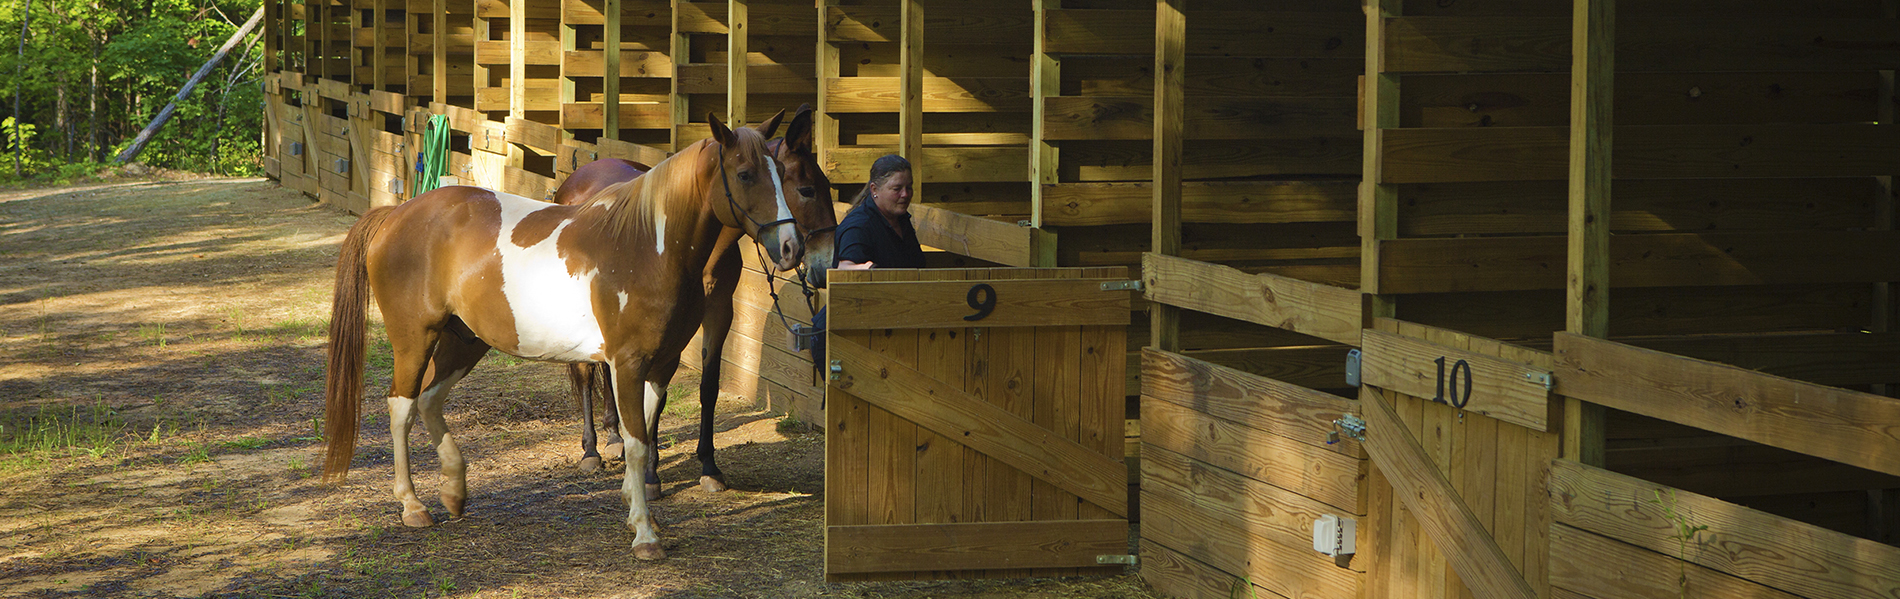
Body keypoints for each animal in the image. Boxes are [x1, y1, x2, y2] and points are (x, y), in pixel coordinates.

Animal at [321, 113, 801, 562]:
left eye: (781, 172)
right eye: (745, 173)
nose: (791, 246)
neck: (648, 246)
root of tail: (394, 216)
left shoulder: (660, 364)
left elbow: (645, 432)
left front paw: (635, 509)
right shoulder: (627, 363)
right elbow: (635, 442)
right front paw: (645, 535)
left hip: (466, 341)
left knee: (429, 399)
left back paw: (454, 491)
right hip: (415, 340)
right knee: (401, 406)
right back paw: (412, 506)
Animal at [554, 105, 839, 498]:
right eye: (807, 189)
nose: (825, 260)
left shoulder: (719, 312)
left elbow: (708, 386)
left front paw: (709, 465)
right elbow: (657, 394)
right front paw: (651, 473)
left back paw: (614, 436)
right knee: (584, 373)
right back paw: (592, 449)